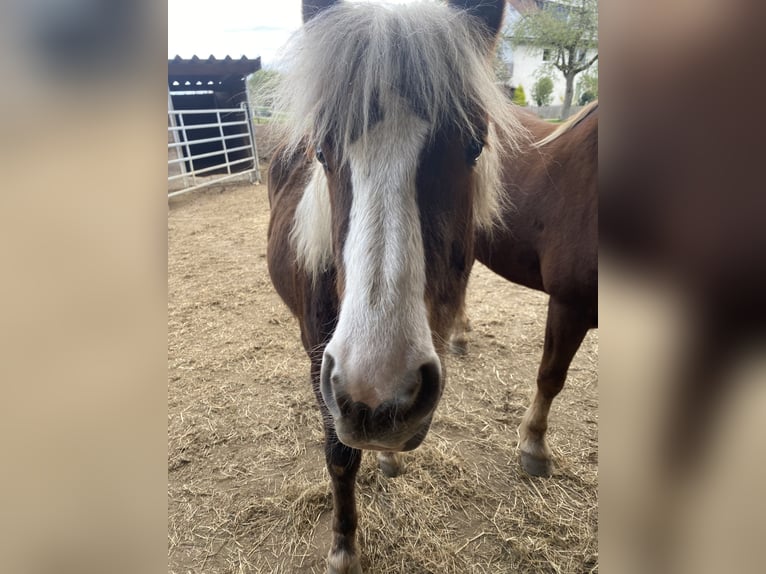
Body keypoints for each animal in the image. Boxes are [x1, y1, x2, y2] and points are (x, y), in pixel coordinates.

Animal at [266, 1, 524, 571]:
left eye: (474, 146)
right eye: (323, 151)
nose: (376, 393)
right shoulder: (320, 363)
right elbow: (340, 457)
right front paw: (344, 549)